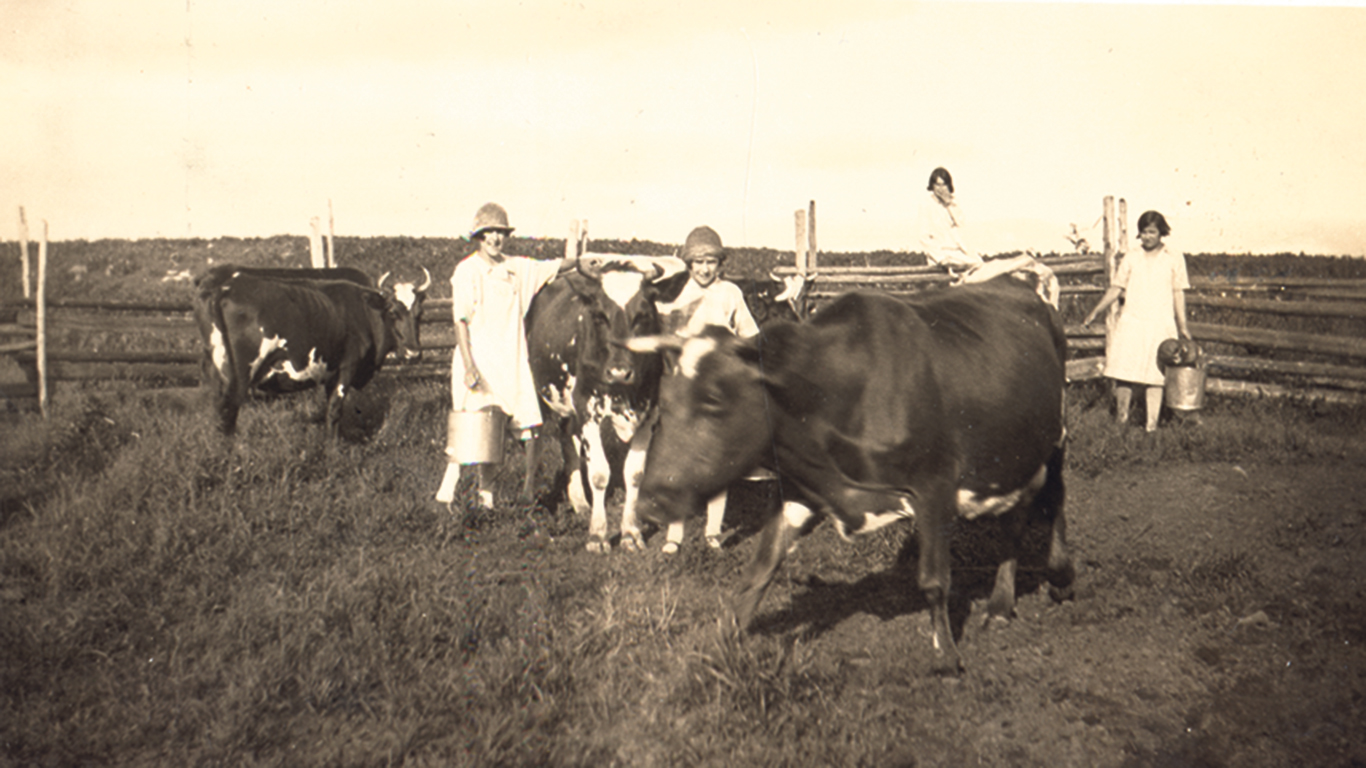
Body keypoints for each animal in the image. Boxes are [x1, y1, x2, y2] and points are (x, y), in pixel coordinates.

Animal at [631, 276, 1076, 669]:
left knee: (1055, 497)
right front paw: (719, 645)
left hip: (1056, 434)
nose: (650, 503)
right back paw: (1001, 603)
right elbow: (758, 572)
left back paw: (1058, 575)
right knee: (1017, 514)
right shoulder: (799, 490)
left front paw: (947, 656)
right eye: (664, 401)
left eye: (714, 400)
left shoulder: (934, 485)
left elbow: (934, 580)